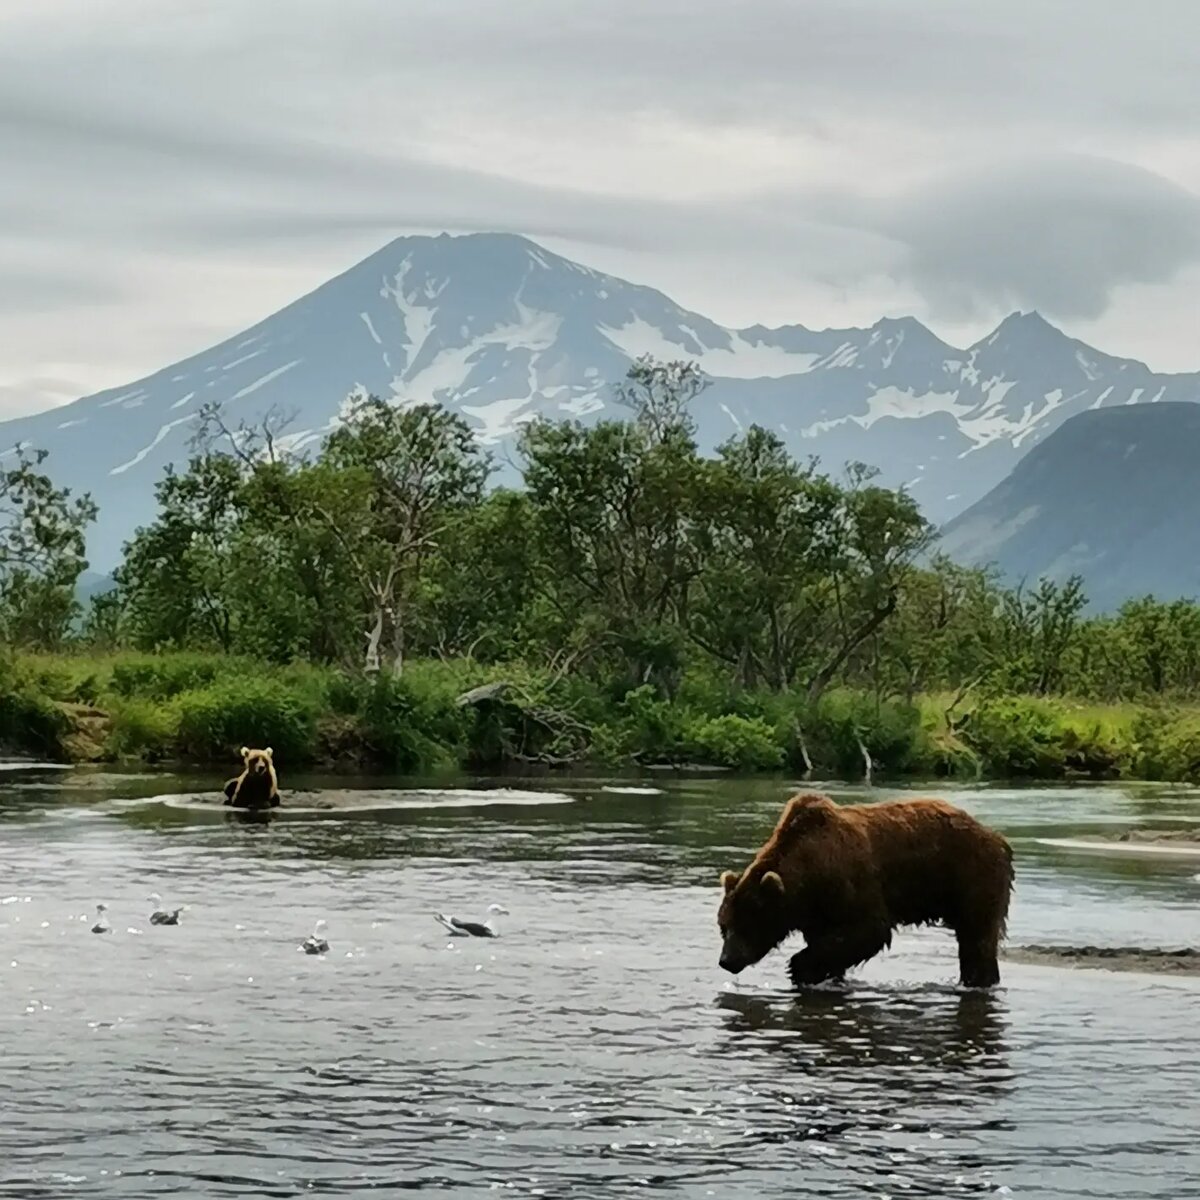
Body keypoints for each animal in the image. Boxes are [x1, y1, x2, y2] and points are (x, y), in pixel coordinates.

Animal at [720, 792, 1012, 988]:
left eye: (746, 924)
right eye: (724, 926)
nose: (726, 960)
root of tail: (996, 836)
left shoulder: (851, 883)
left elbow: (870, 930)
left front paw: (799, 968)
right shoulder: (817, 911)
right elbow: (830, 944)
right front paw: (823, 975)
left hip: (971, 876)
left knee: (977, 938)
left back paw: (979, 979)